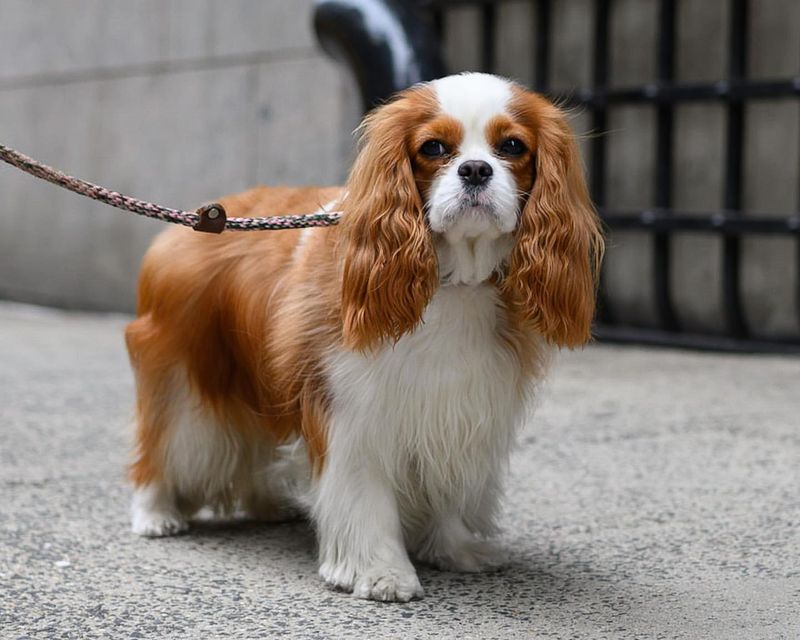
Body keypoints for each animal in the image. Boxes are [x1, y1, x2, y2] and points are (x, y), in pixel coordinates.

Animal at [123, 72, 600, 604]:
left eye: (513, 146)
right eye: (433, 148)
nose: (476, 170)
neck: (452, 281)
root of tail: (194, 220)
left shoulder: (458, 408)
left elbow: (447, 484)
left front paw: (454, 547)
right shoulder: (354, 410)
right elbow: (365, 495)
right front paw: (382, 572)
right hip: (180, 371)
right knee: (164, 438)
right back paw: (155, 513)